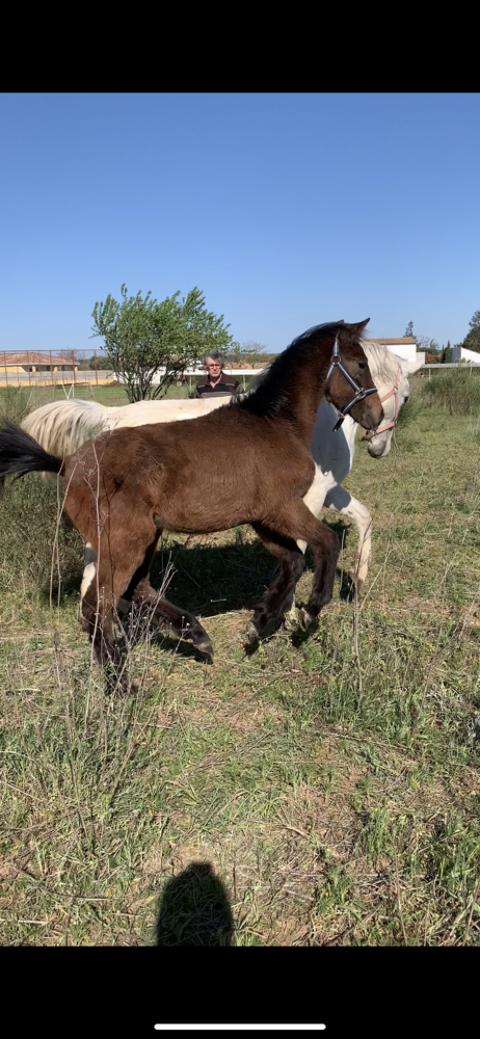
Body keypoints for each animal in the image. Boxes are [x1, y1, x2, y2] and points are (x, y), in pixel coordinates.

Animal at [22, 344, 417, 594]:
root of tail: (110, 417)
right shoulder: (311, 496)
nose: (379, 446)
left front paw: (359, 578)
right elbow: (305, 543)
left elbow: (364, 518)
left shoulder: (328, 490)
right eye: (407, 395)